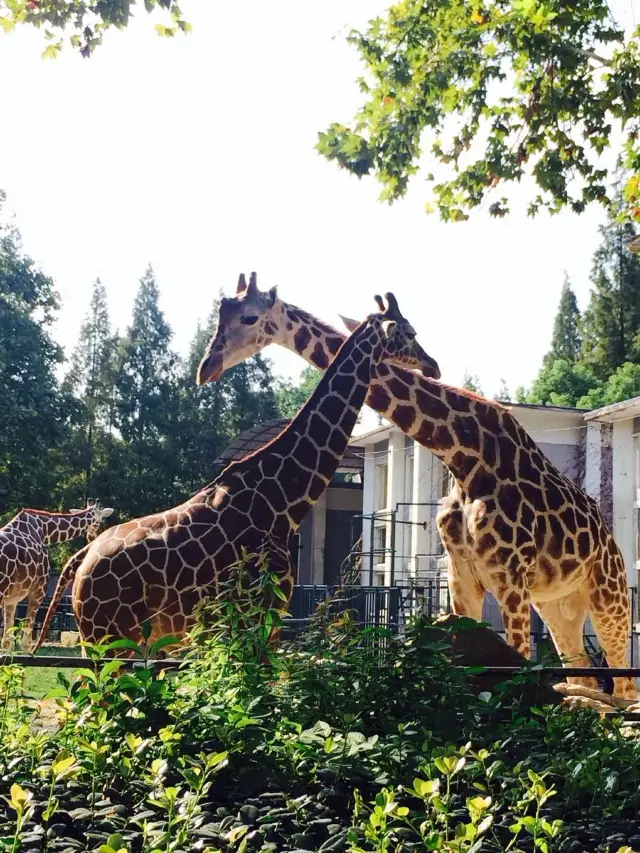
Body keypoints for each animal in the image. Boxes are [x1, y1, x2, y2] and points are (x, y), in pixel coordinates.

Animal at [0, 502, 114, 648]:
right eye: (99, 521)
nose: (92, 536)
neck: (44, 530)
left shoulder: (12, 600)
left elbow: (7, 642)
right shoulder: (38, 592)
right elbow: (26, 642)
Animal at [32, 286, 438, 652]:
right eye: (410, 332)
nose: (433, 365)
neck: (284, 500)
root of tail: (81, 558)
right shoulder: (262, 615)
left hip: (111, 638)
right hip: (110, 636)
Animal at [198, 274, 636, 700]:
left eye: (249, 318)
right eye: (223, 316)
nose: (207, 367)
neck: (464, 457)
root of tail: (610, 540)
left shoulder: (510, 577)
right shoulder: (461, 577)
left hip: (609, 596)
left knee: (623, 684)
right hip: (559, 603)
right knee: (584, 675)